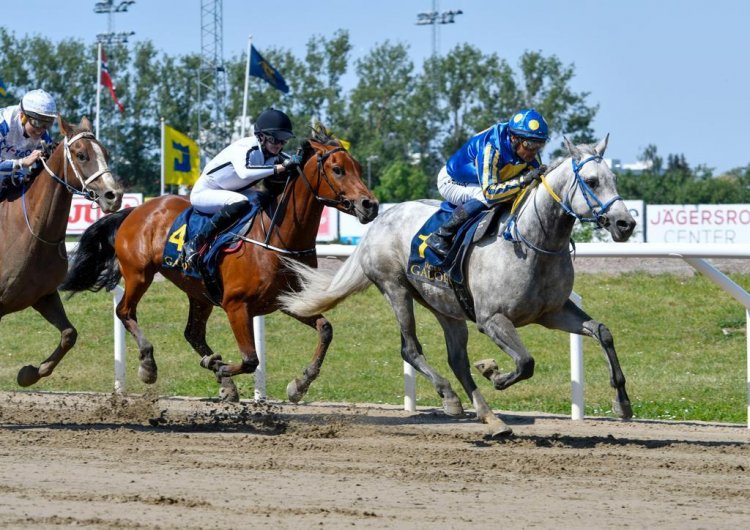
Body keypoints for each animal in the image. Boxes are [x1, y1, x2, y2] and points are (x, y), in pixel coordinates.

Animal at [0, 117, 122, 386]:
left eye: (106, 153)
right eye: (81, 155)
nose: (114, 195)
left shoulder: (43, 295)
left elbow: (69, 334)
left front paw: (29, 373)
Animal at [61, 127, 378, 400]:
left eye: (358, 167)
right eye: (337, 170)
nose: (370, 205)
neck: (277, 236)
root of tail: (135, 209)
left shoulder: (287, 299)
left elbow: (325, 329)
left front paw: (299, 384)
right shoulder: (237, 306)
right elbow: (250, 359)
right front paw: (223, 368)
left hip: (198, 292)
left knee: (192, 333)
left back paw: (219, 374)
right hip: (139, 274)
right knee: (125, 312)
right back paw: (149, 365)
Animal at [280, 137, 636, 438]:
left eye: (614, 178)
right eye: (591, 181)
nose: (626, 223)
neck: (532, 241)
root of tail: (381, 218)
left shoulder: (553, 312)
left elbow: (602, 332)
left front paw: (622, 403)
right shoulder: (492, 319)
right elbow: (525, 362)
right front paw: (495, 373)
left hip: (446, 306)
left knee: (457, 361)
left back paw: (491, 418)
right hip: (396, 288)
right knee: (411, 349)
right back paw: (451, 397)